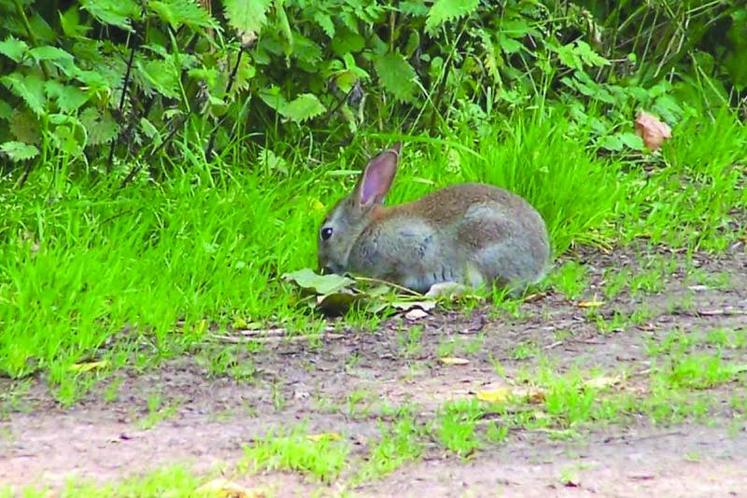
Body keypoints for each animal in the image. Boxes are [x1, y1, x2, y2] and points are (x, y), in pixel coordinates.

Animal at [317, 143, 551, 294]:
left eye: (326, 233)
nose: (322, 267)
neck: (361, 233)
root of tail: (538, 264)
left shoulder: (410, 248)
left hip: (482, 249)